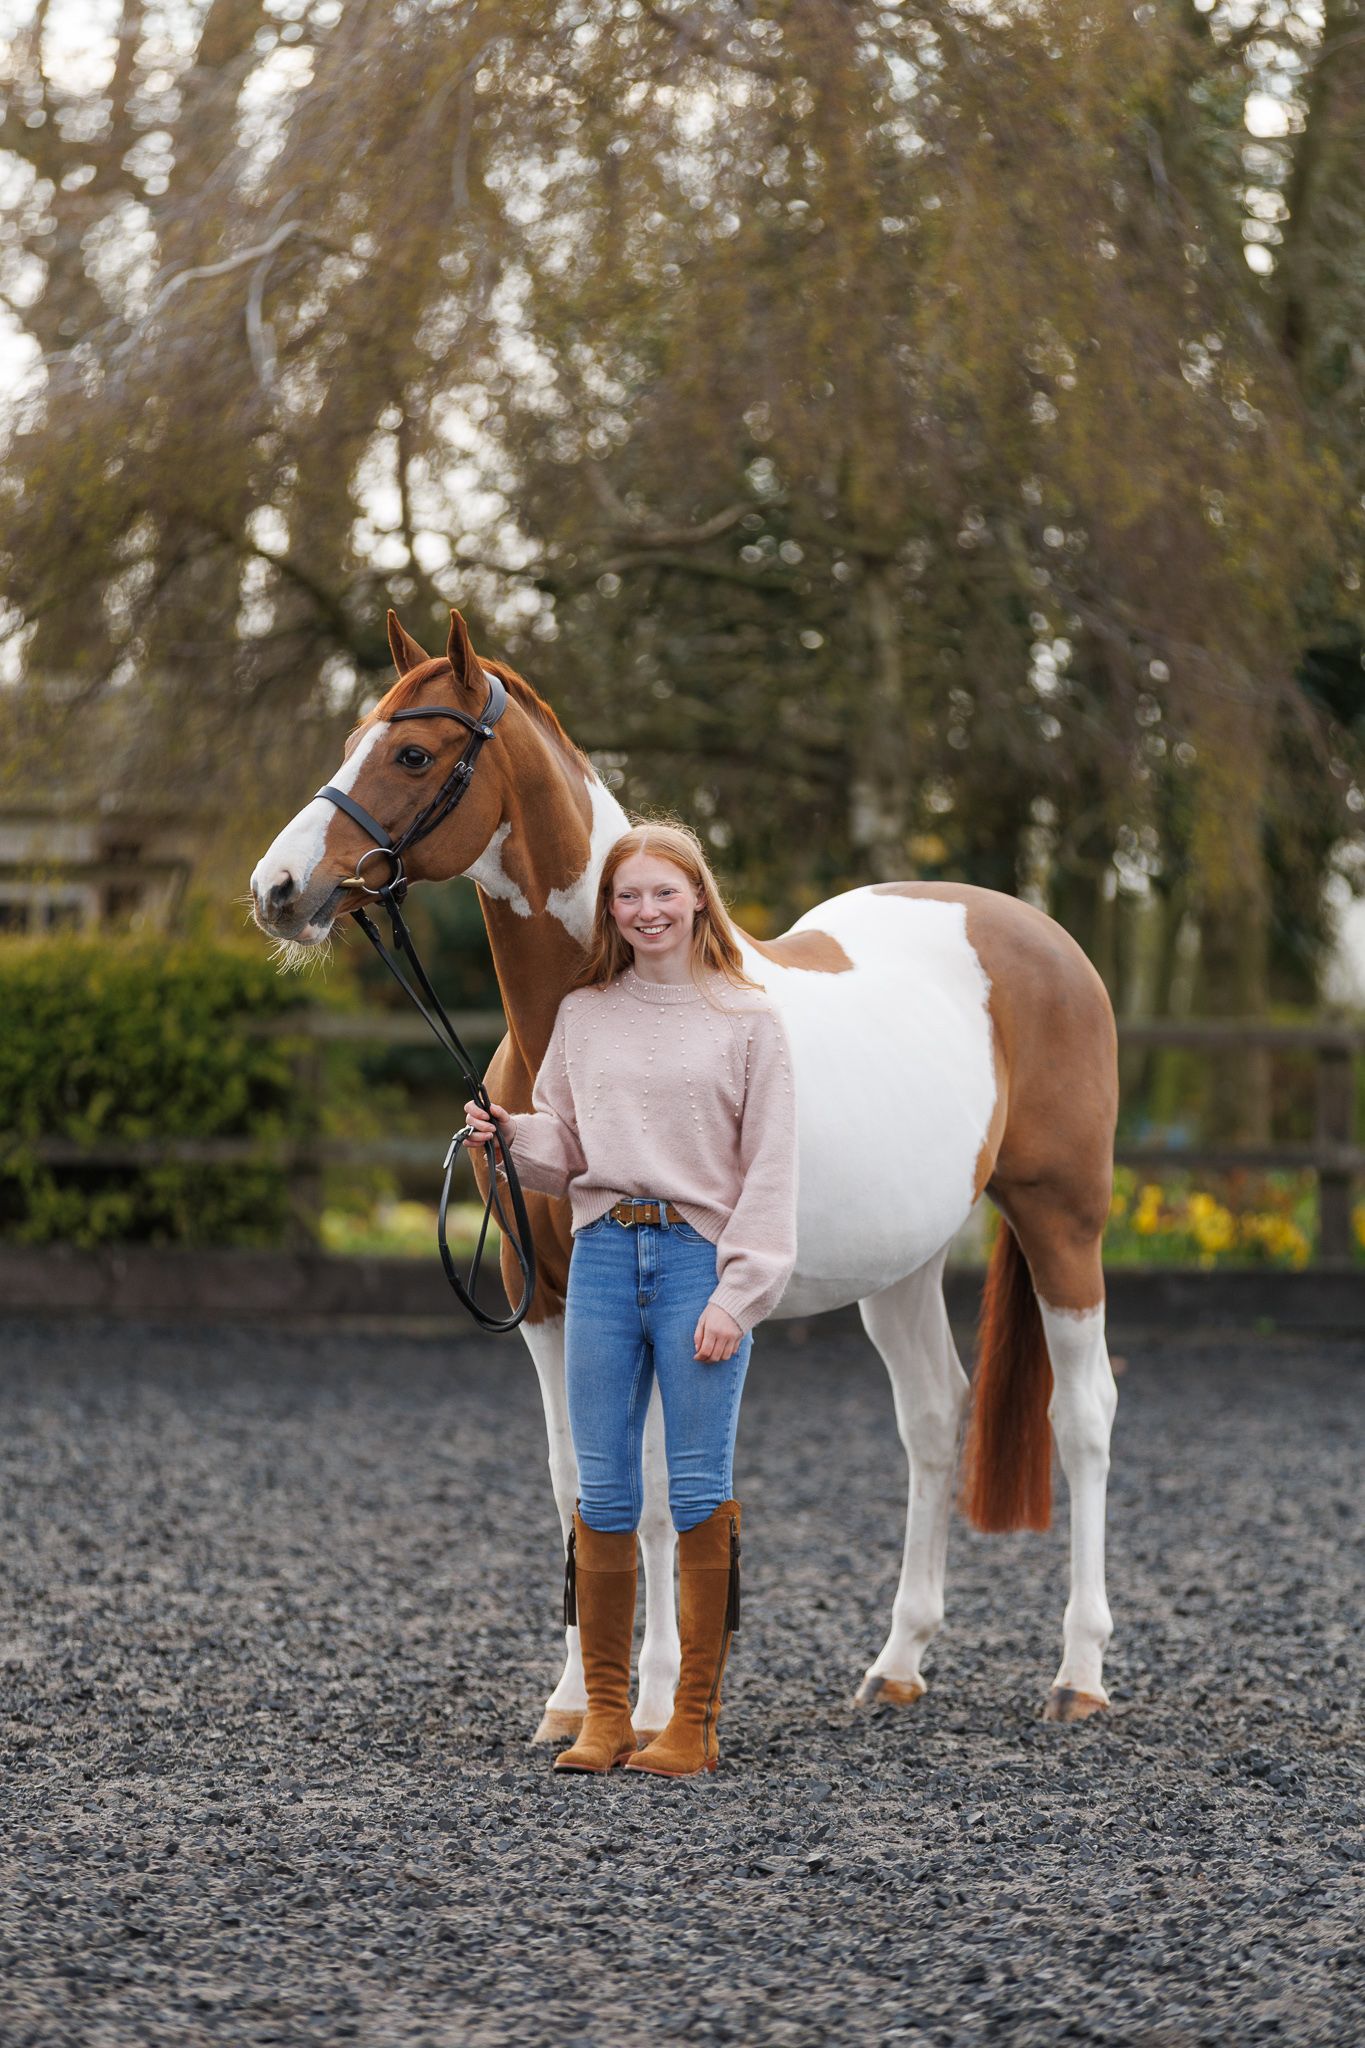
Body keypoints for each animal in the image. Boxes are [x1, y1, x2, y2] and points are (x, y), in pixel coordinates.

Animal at [250, 607, 1119, 1735]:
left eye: (412, 754)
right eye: (354, 737)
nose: (277, 891)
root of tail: (1038, 933)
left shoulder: (673, 1286)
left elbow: (663, 1495)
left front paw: (656, 1702)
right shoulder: (547, 1298)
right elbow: (579, 1480)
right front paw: (572, 1704)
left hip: (1064, 1220)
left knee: (1083, 1416)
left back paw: (1080, 1672)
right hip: (900, 1264)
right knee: (932, 1420)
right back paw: (896, 1663)